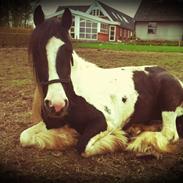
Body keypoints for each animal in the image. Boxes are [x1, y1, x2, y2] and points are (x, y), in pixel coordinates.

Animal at [20, 5, 183, 157]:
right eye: (36, 51)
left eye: (68, 51)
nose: (57, 105)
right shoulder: (51, 122)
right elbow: (24, 137)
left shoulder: (105, 122)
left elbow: (83, 147)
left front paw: (118, 139)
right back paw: (135, 129)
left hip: (168, 104)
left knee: (169, 135)